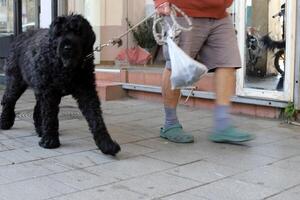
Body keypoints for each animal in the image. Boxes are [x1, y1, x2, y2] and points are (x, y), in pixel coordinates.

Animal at [1, 14, 120, 156]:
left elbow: (95, 117)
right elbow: (50, 116)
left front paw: (106, 144)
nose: (67, 47)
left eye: (78, 32)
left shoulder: (86, 90)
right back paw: (5, 122)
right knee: (9, 100)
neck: (66, 68)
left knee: (37, 108)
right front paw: (50, 141)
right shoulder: (49, 92)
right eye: (59, 33)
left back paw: (40, 130)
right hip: (16, 81)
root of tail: (20, 36)